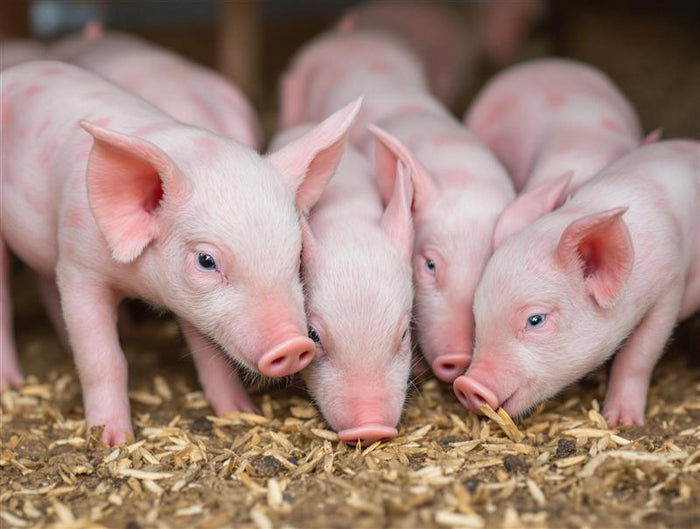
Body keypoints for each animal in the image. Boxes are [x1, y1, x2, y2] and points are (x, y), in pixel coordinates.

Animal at [0, 60, 361, 444]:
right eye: (206, 260)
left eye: (297, 255)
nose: (293, 345)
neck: (138, 284)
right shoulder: (78, 267)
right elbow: (104, 359)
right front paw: (114, 440)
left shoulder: (193, 307)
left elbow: (212, 358)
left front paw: (239, 412)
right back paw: (12, 382)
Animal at [453, 140, 700, 426]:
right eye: (477, 316)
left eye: (535, 320)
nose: (466, 385)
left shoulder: (669, 287)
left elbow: (637, 357)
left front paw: (620, 422)